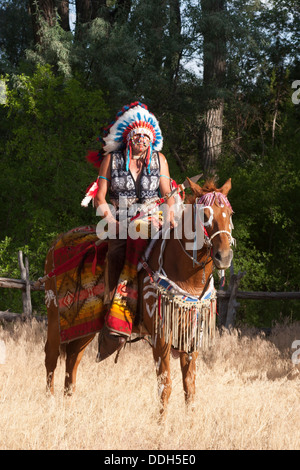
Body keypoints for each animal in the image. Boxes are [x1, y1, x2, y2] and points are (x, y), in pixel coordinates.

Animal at [43, 179, 233, 414]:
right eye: (204, 215)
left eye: (229, 213)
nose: (224, 256)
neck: (186, 275)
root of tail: (56, 243)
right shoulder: (161, 336)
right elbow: (165, 386)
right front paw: (161, 423)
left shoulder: (190, 336)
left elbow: (190, 388)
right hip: (54, 317)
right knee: (51, 358)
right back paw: (50, 405)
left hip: (85, 325)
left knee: (72, 360)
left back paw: (68, 408)